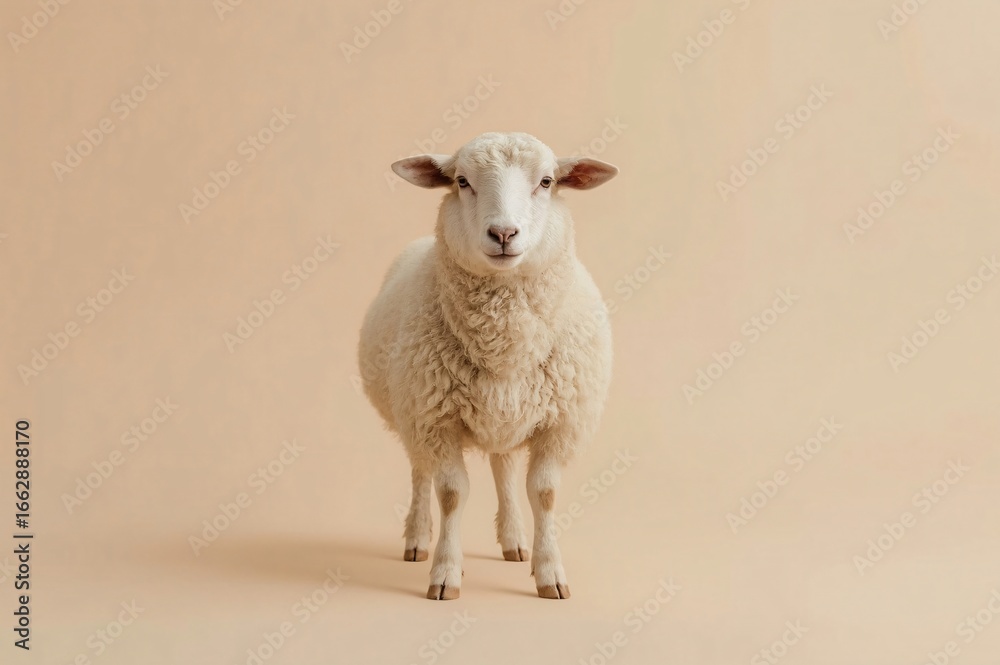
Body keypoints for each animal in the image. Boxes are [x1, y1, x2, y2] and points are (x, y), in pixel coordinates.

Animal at [358, 132, 617, 600]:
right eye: (462, 181)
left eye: (547, 182)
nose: (503, 233)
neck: (506, 345)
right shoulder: (435, 419)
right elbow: (450, 493)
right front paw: (445, 572)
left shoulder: (559, 423)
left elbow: (544, 493)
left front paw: (549, 572)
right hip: (411, 412)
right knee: (420, 473)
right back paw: (417, 538)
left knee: (504, 468)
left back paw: (514, 541)